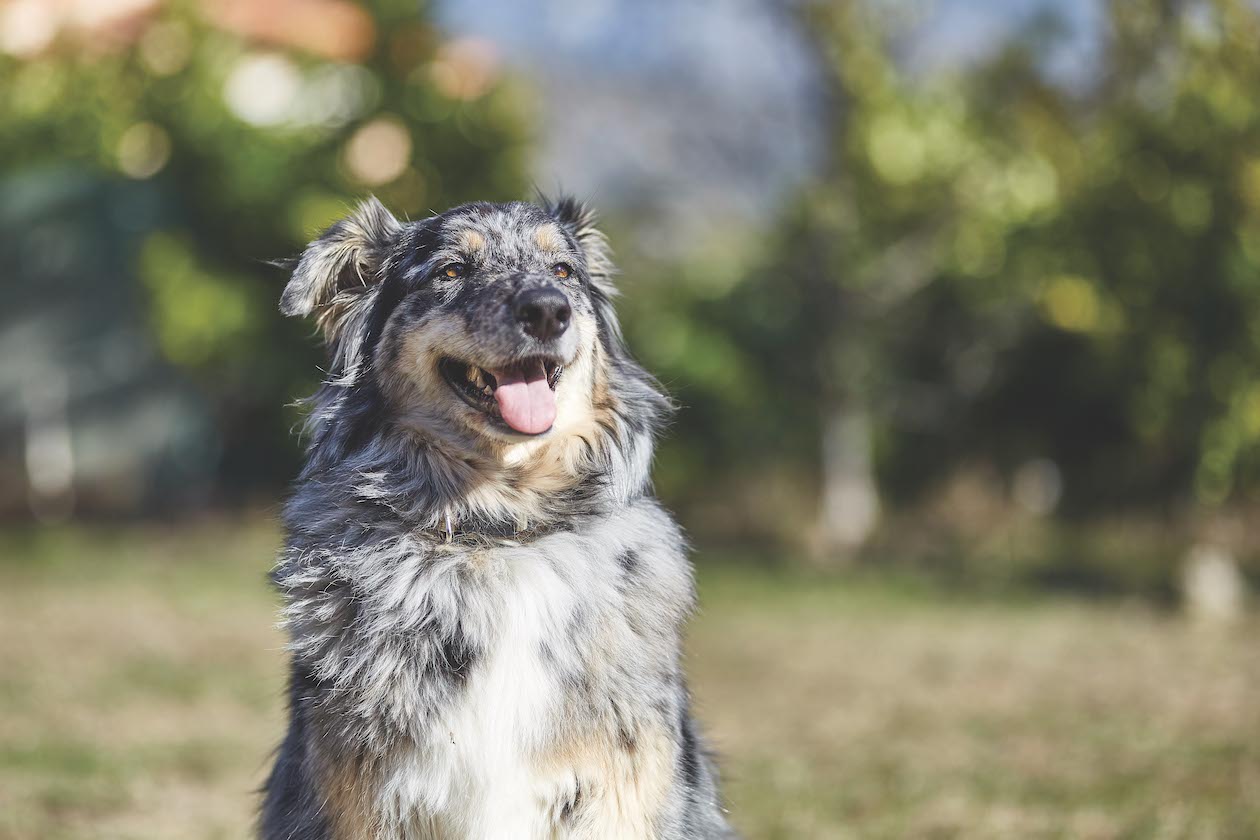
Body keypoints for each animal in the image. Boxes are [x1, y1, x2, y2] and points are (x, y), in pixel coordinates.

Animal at [262, 193, 735, 836]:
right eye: (451, 271)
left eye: (563, 271)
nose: (547, 311)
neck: (497, 530)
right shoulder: (359, 796)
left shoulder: (622, 788)